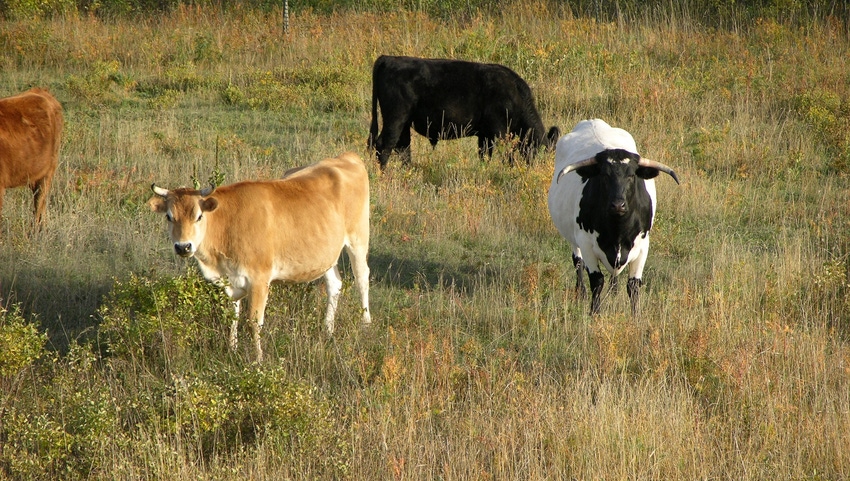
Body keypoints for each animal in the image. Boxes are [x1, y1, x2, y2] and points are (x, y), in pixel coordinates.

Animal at [151, 151, 370, 360]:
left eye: (199, 216)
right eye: (169, 216)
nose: (183, 247)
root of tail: (344, 157)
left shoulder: (259, 279)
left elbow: (254, 322)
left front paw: (258, 360)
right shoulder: (231, 280)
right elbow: (233, 315)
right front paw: (232, 349)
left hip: (358, 239)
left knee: (362, 279)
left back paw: (365, 324)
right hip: (327, 253)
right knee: (334, 284)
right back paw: (328, 330)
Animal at [364, 54, 556, 169]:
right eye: (537, 151)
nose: (532, 168)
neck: (514, 93)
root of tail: (388, 58)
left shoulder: (485, 135)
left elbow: (484, 155)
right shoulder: (499, 130)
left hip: (404, 123)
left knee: (403, 148)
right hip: (396, 118)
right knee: (385, 145)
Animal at [548, 119, 680, 316]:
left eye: (631, 175)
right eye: (604, 175)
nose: (618, 205)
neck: (617, 231)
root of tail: (591, 121)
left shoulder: (643, 246)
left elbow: (633, 285)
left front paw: (636, 316)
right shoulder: (586, 243)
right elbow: (596, 281)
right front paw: (594, 313)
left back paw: (613, 290)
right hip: (572, 236)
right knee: (578, 262)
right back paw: (581, 292)